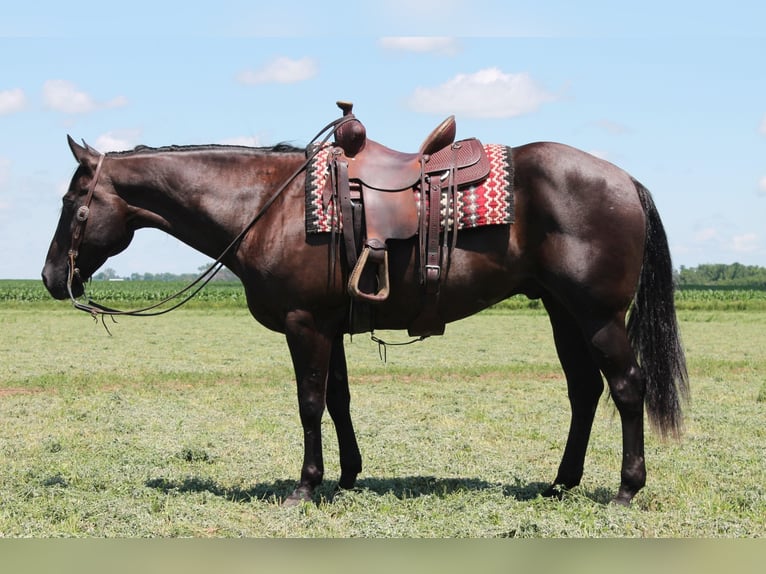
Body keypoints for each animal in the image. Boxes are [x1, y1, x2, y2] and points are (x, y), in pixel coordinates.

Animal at [42, 124, 688, 506]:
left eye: (72, 203)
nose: (50, 278)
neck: (267, 205)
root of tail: (625, 180)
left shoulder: (304, 323)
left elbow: (308, 402)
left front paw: (306, 487)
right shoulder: (329, 324)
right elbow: (337, 399)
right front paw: (348, 473)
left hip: (597, 314)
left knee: (627, 387)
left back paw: (626, 489)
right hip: (561, 310)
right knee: (584, 390)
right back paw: (561, 481)